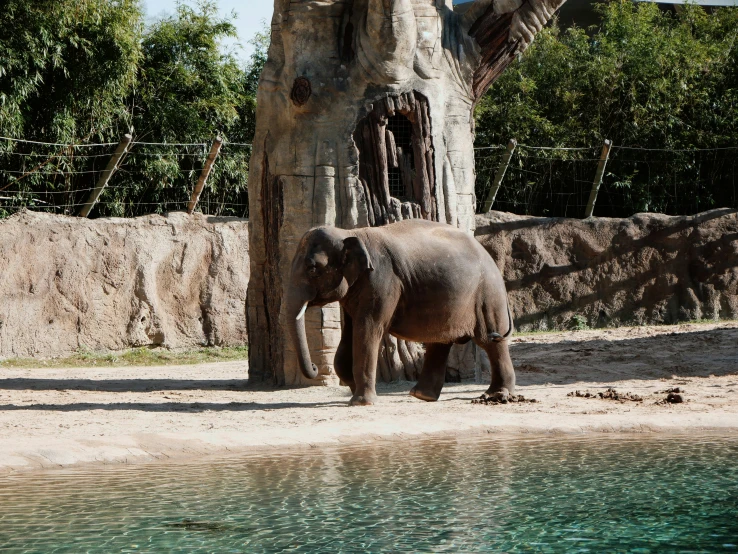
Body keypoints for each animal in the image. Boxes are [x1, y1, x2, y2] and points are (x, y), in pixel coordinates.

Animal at [286, 217, 512, 406]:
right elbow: (349, 335)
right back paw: (422, 396)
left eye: (313, 269)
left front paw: (361, 402)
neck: (350, 233)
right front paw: (352, 389)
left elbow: (368, 330)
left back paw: (496, 396)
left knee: (490, 340)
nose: (314, 366)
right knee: (441, 341)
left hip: (487, 294)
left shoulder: (382, 280)